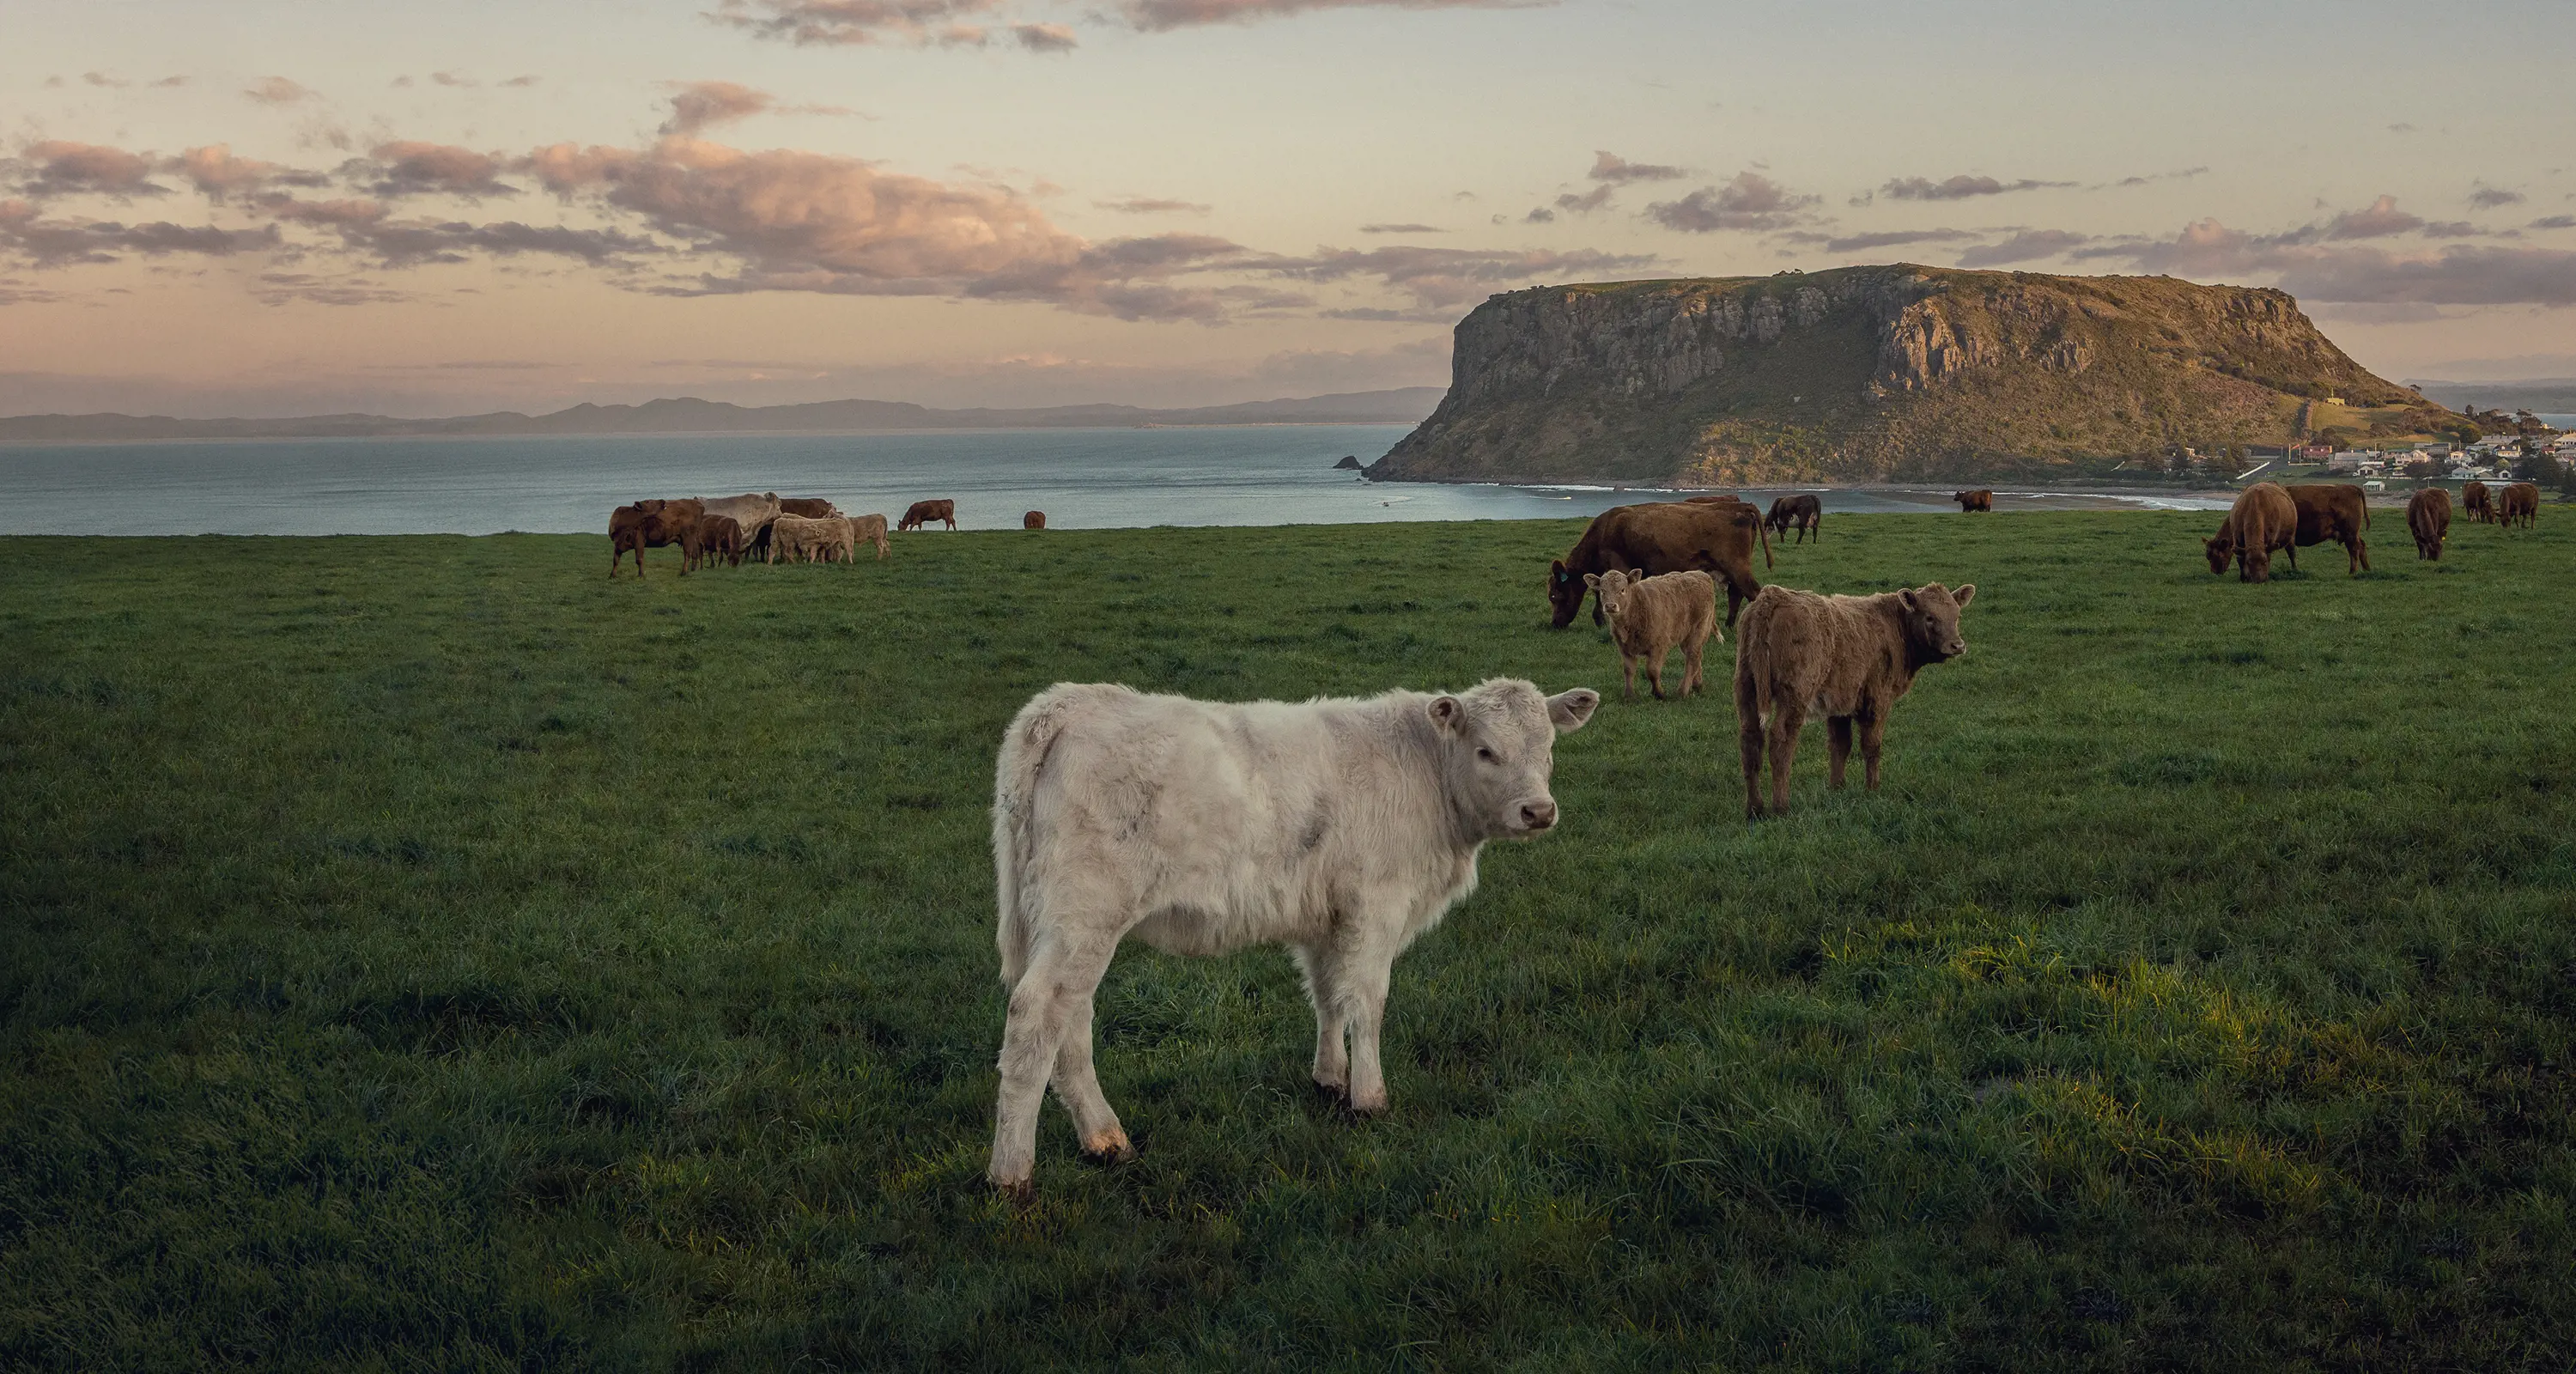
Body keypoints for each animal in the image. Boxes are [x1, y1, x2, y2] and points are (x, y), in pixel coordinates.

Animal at [984, 677, 1600, 1197]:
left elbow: (1328, 996)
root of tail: (1070, 702)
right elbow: (1367, 1002)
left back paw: (1104, 1140)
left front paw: (1330, 1079)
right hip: (1085, 915)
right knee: (1037, 1017)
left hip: (1063, 925)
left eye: (1549, 747)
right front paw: (1370, 1098)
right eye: (1486, 751)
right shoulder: (1376, 907)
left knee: (1070, 1020)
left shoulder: (1325, 918)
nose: (1538, 810)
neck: (1427, 772)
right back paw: (1012, 1173)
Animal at [1547, 500, 1771, 631]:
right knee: (1736, 594)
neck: (1603, 532)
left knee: (1753, 592)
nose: (1555, 623)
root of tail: (1739, 507)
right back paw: (1730, 625)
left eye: (1555, 596)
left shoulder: (1620, 567)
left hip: (1737, 568)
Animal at [1583, 568, 1717, 701]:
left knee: (1692, 658)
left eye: (1622, 590)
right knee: (1697, 657)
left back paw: (1682, 692)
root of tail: (1700, 574)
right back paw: (1697, 686)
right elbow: (1628, 670)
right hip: (1686, 636)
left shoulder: (1658, 645)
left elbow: (1652, 671)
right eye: (1603, 591)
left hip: (1699, 630)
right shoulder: (1624, 647)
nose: (1610, 606)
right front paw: (1629, 695)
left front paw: (1658, 694)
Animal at [1734, 581, 1975, 819]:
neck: (1893, 625)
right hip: (1795, 694)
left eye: (1957, 616)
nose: (1957, 645)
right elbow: (1871, 745)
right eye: (1930, 617)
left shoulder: (1840, 703)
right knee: (1781, 741)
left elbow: (1840, 745)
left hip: (1746, 689)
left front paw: (1837, 788)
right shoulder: (1877, 700)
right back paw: (1781, 807)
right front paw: (1872, 789)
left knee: (1750, 741)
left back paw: (1754, 809)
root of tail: (1772, 595)